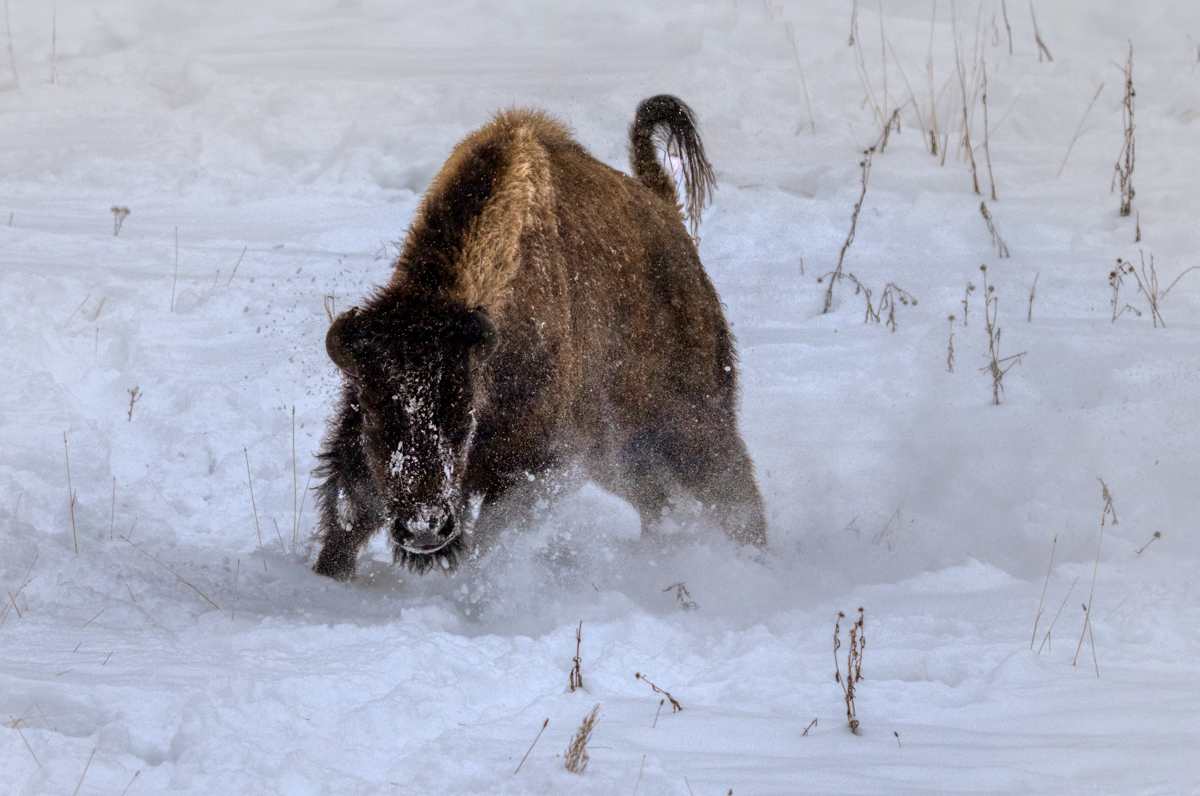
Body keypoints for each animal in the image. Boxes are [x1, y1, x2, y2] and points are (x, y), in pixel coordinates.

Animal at [313, 95, 766, 580]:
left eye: (463, 417)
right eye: (374, 417)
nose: (424, 529)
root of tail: (666, 211)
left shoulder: (539, 463)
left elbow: (495, 533)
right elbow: (349, 514)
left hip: (694, 422)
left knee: (734, 492)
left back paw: (754, 561)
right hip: (620, 453)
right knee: (657, 499)